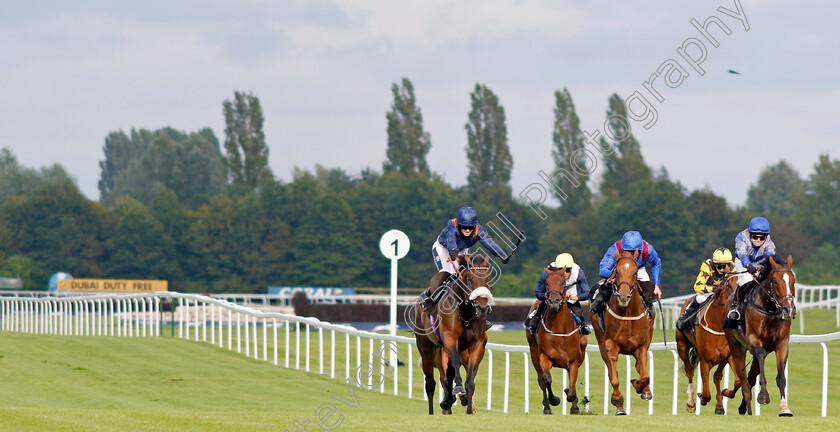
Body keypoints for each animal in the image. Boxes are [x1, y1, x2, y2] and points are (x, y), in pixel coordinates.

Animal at [412, 253, 492, 416]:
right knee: (430, 383)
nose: (482, 308)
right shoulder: (449, 338)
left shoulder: (477, 344)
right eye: (470, 279)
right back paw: (433, 410)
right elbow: (455, 362)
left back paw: (448, 401)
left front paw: (468, 407)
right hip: (426, 348)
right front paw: (458, 390)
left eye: (488, 278)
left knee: (447, 375)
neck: (465, 312)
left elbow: (469, 378)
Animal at [520, 266, 588, 416]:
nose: (554, 302)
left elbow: (572, 385)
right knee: (541, 380)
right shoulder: (544, 356)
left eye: (563, 282)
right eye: (546, 283)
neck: (559, 331)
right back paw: (547, 407)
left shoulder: (574, 360)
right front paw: (554, 400)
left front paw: (574, 405)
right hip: (533, 352)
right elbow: (547, 379)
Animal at [588, 250, 652, 416]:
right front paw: (618, 401)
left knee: (640, 367)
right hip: (600, 340)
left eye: (635, 272)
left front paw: (641, 388)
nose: (623, 296)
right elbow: (614, 377)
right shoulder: (610, 344)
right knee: (611, 370)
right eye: (616, 271)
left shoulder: (641, 346)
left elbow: (645, 376)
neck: (627, 313)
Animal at [676, 276, 740, 414]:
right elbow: (706, 393)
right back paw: (691, 403)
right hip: (682, 346)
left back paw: (719, 406)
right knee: (689, 371)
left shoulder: (730, 356)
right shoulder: (704, 360)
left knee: (717, 376)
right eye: (729, 286)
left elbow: (738, 381)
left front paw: (726, 392)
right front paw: (701, 398)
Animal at [724, 255, 796, 416]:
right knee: (744, 381)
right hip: (736, 347)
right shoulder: (754, 341)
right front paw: (763, 396)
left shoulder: (782, 343)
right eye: (775, 281)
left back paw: (742, 407)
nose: (788, 309)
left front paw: (784, 408)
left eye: (793, 281)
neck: (769, 309)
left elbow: (781, 378)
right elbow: (760, 357)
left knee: (750, 379)